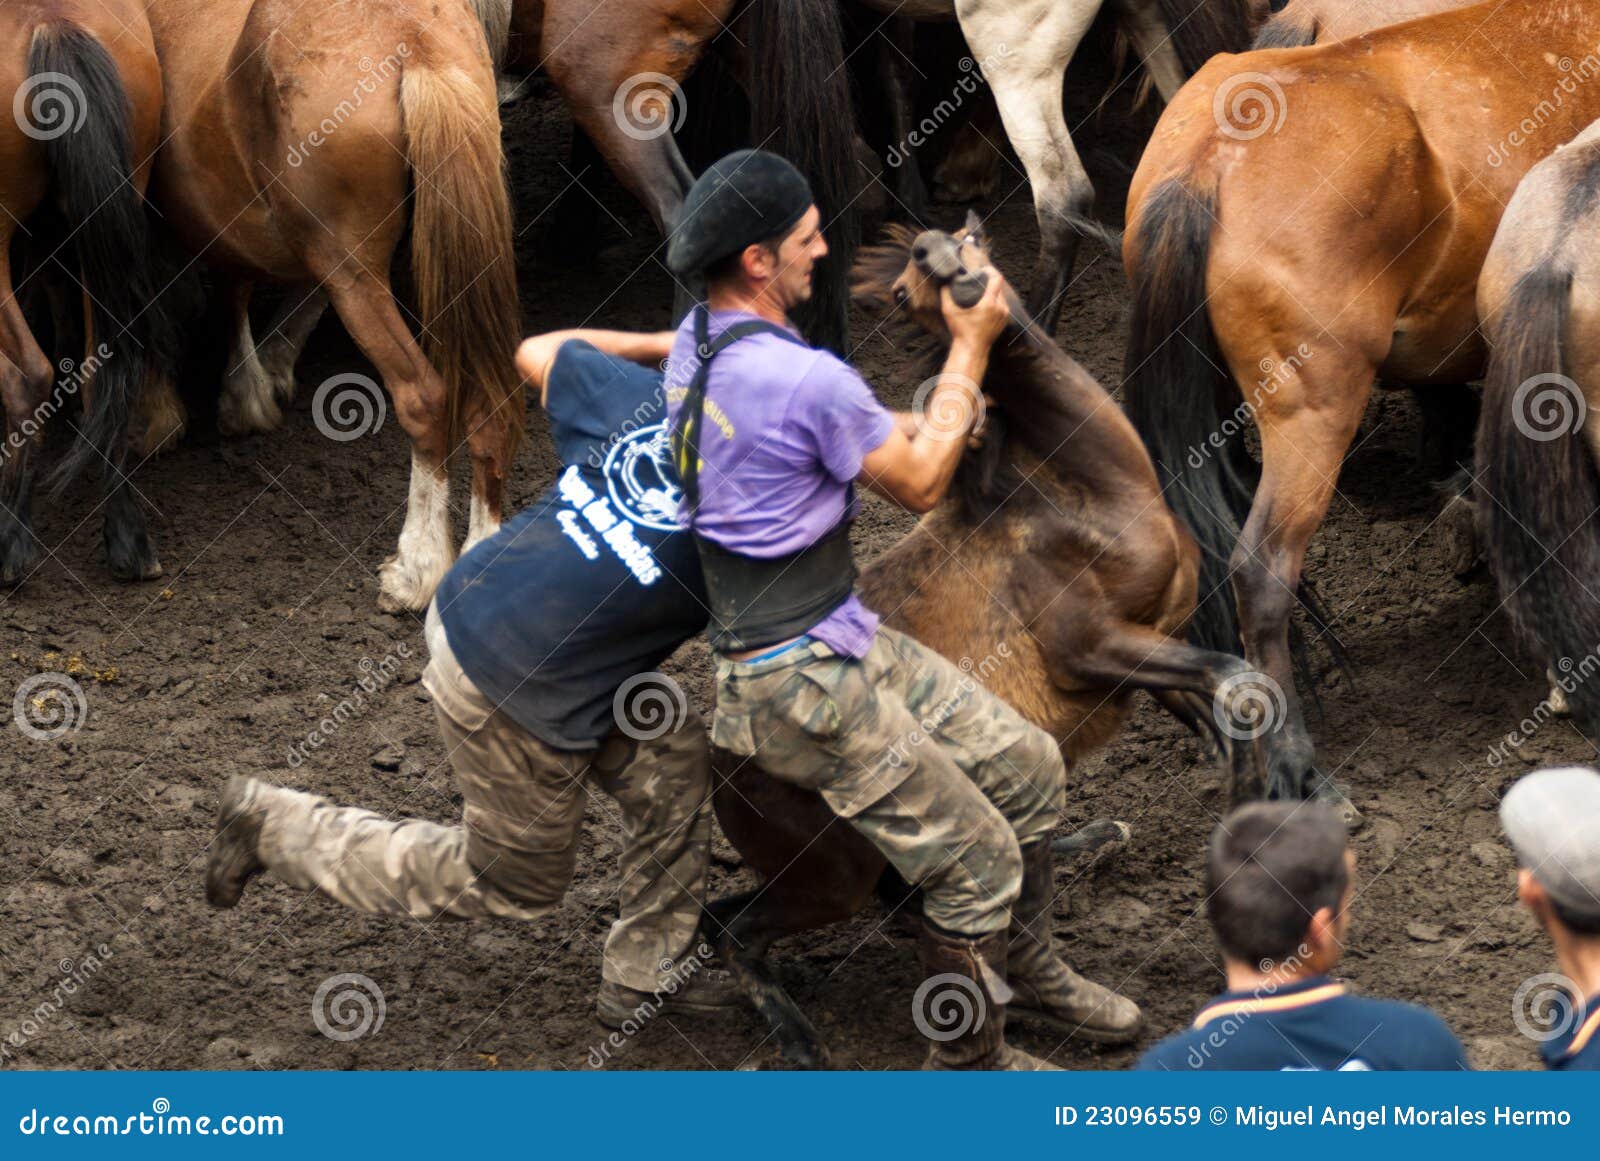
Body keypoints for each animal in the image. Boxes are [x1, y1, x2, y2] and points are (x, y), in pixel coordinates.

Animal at [143, 0, 523, 613]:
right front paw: (247, 393)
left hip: (351, 272)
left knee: (423, 396)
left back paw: (415, 571)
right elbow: (235, 284)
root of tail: (413, 42)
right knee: (490, 405)